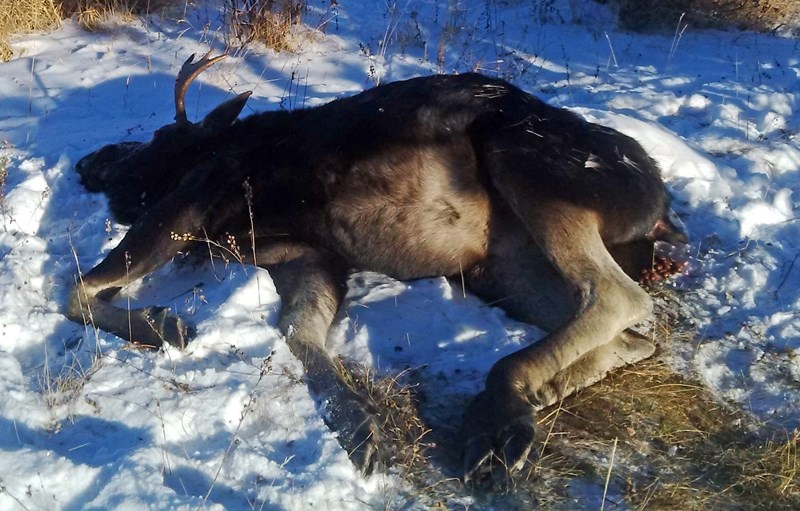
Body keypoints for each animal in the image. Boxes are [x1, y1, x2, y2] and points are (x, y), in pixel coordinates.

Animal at [67, 54, 688, 486]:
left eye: (157, 136)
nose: (89, 159)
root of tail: (662, 211)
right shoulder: (308, 254)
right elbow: (299, 334)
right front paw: (361, 429)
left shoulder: (193, 197)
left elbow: (79, 289)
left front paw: (163, 324)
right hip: (503, 268)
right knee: (633, 337)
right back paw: (529, 399)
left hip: (528, 166)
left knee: (616, 296)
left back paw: (498, 412)